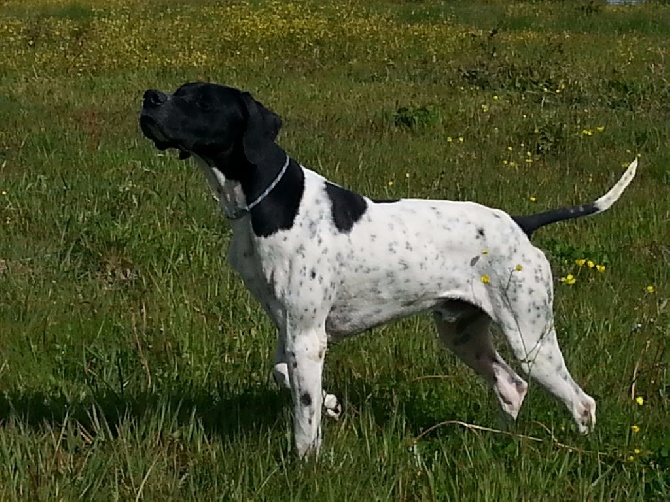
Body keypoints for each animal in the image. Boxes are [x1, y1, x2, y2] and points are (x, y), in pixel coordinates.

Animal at [139, 80, 636, 456]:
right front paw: (333, 403)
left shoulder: (307, 337)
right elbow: (285, 377)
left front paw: (307, 461)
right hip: (462, 333)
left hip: (530, 336)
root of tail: (520, 222)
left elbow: (303, 417)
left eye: (202, 101)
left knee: (581, 402)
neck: (268, 200)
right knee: (511, 386)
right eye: (179, 90)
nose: (150, 98)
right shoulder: (291, 330)